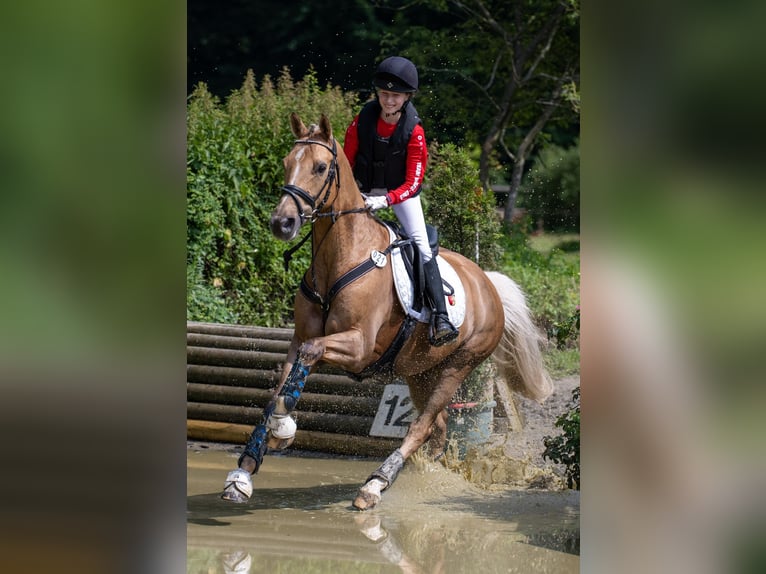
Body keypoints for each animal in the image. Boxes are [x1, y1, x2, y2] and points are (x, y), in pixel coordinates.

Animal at [222, 113, 552, 512]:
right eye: (287, 163)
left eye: (320, 168)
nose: (281, 223)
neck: (341, 256)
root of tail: (488, 283)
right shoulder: (300, 338)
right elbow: (277, 392)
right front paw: (242, 475)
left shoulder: (358, 346)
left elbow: (310, 356)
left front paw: (284, 429)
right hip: (420, 371)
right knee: (438, 426)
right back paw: (426, 479)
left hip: (461, 363)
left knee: (422, 424)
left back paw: (374, 485)